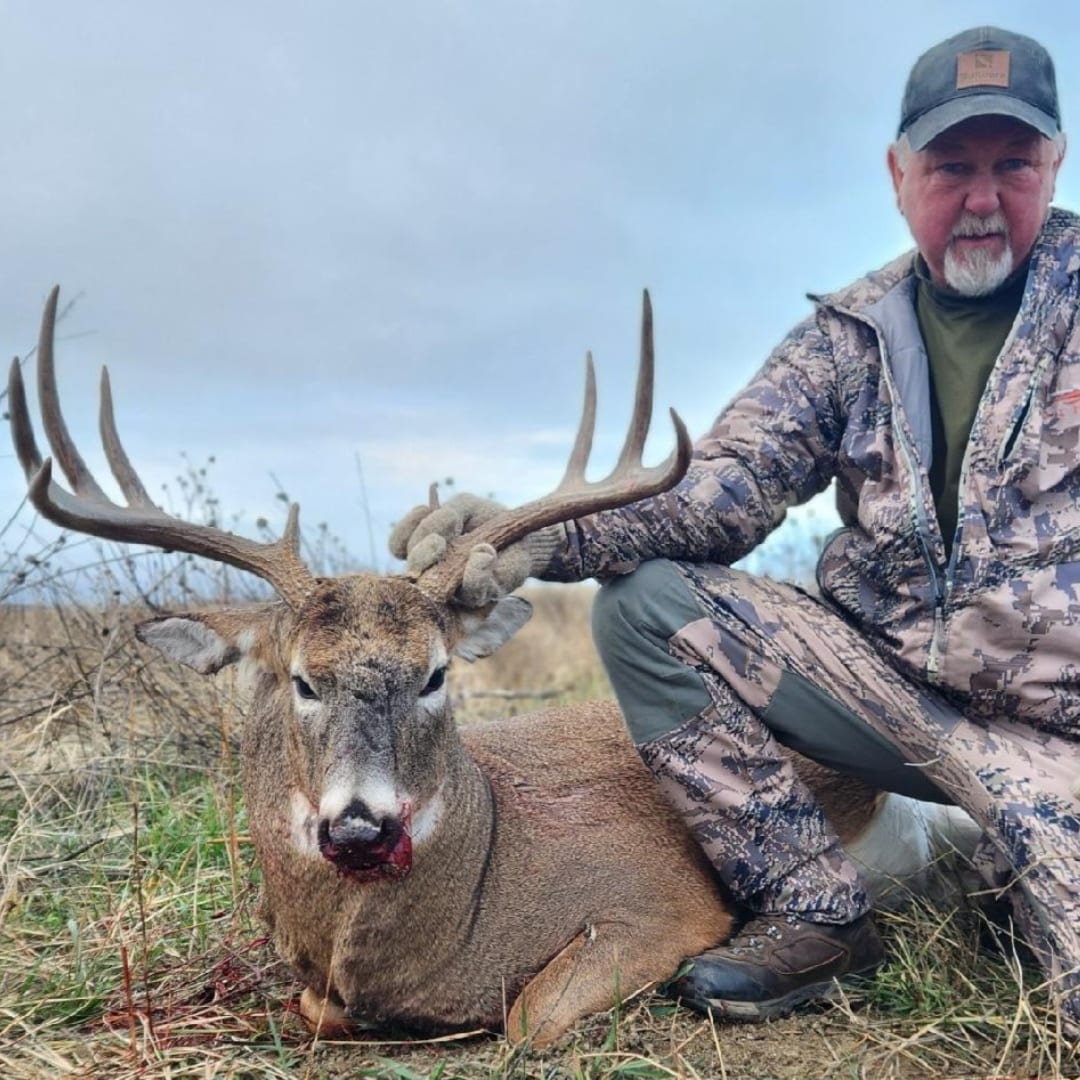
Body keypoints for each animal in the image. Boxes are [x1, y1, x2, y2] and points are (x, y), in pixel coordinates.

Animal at [8, 287, 980, 1048]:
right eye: (302, 679)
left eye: (436, 674)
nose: (360, 827)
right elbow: (317, 1008)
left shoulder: (663, 905)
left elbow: (526, 1021)